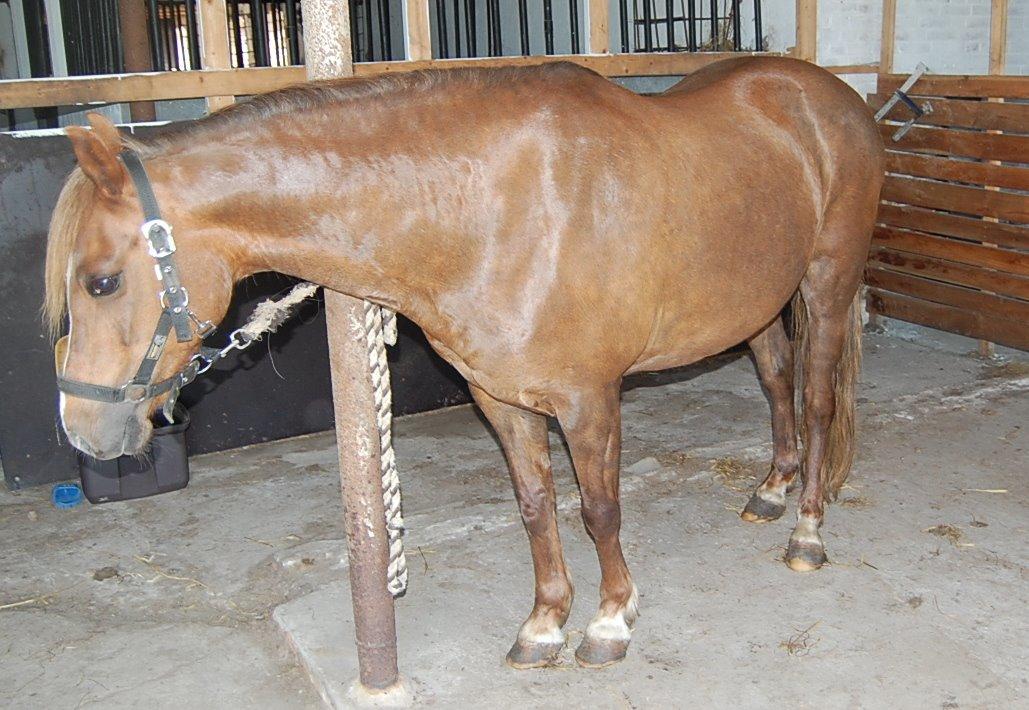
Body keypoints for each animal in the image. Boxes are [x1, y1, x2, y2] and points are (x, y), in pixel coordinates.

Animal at [45, 56, 884, 669]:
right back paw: (770, 491)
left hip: (825, 287)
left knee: (814, 404)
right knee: (775, 385)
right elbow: (536, 506)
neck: (495, 211)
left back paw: (806, 533)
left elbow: (599, 510)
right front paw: (544, 624)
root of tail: (831, 96)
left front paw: (610, 622)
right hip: (756, 304)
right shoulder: (499, 398)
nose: (83, 429)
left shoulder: (588, 399)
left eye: (102, 280)